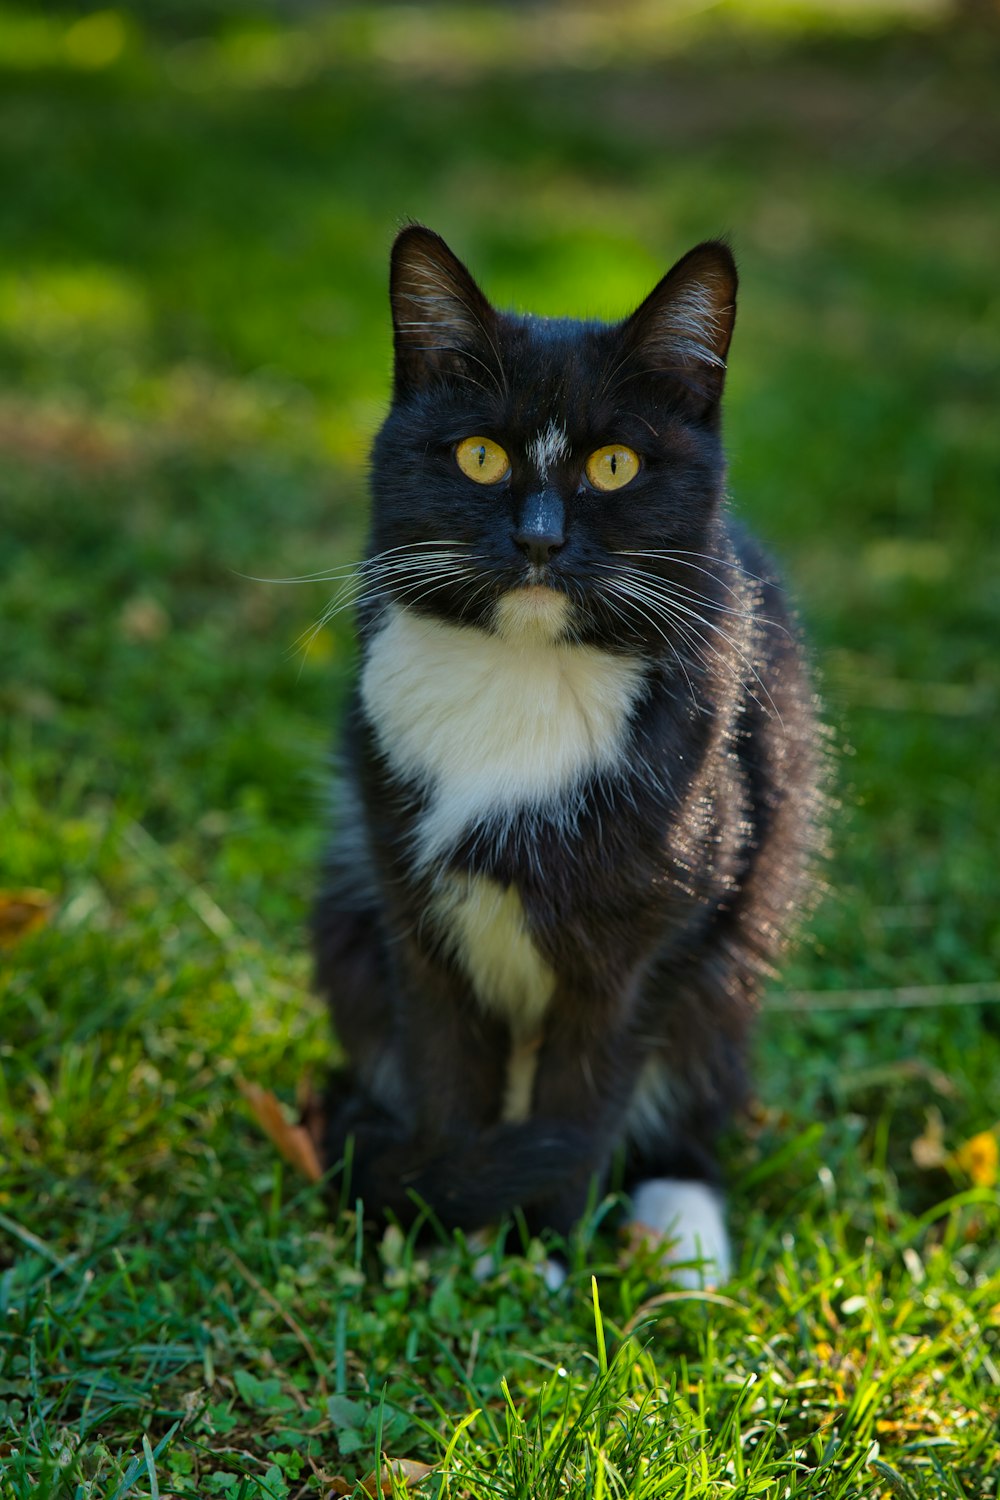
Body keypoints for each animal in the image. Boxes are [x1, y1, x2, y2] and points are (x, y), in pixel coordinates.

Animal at [313, 228, 821, 1284]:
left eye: (616, 464)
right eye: (479, 455)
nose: (539, 540)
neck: (528, 669)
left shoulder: (658, 926)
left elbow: (587, 1093)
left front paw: (543, 1247)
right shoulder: (409, 908)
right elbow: (446, 1063)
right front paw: (448, 1224)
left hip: (733, 956)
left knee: (699, 1079)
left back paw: (683, 1238)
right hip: (343, 925)